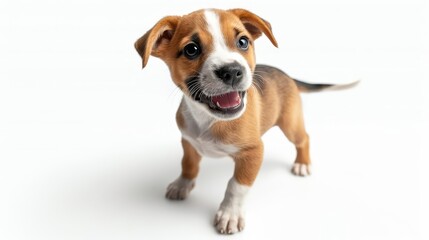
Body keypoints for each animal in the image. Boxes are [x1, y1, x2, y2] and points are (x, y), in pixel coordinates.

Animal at [134, 7, 354, 234]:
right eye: (191, 49)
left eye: (242, 42)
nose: (231, 71)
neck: (208, 119)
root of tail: (286, 75)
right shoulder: (188, 141)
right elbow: (188, 163)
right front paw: (182, 184)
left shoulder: (253, 152)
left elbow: (236, 185)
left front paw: (229, 214)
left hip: (290, 124)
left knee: (304, 138)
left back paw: (302, 164)